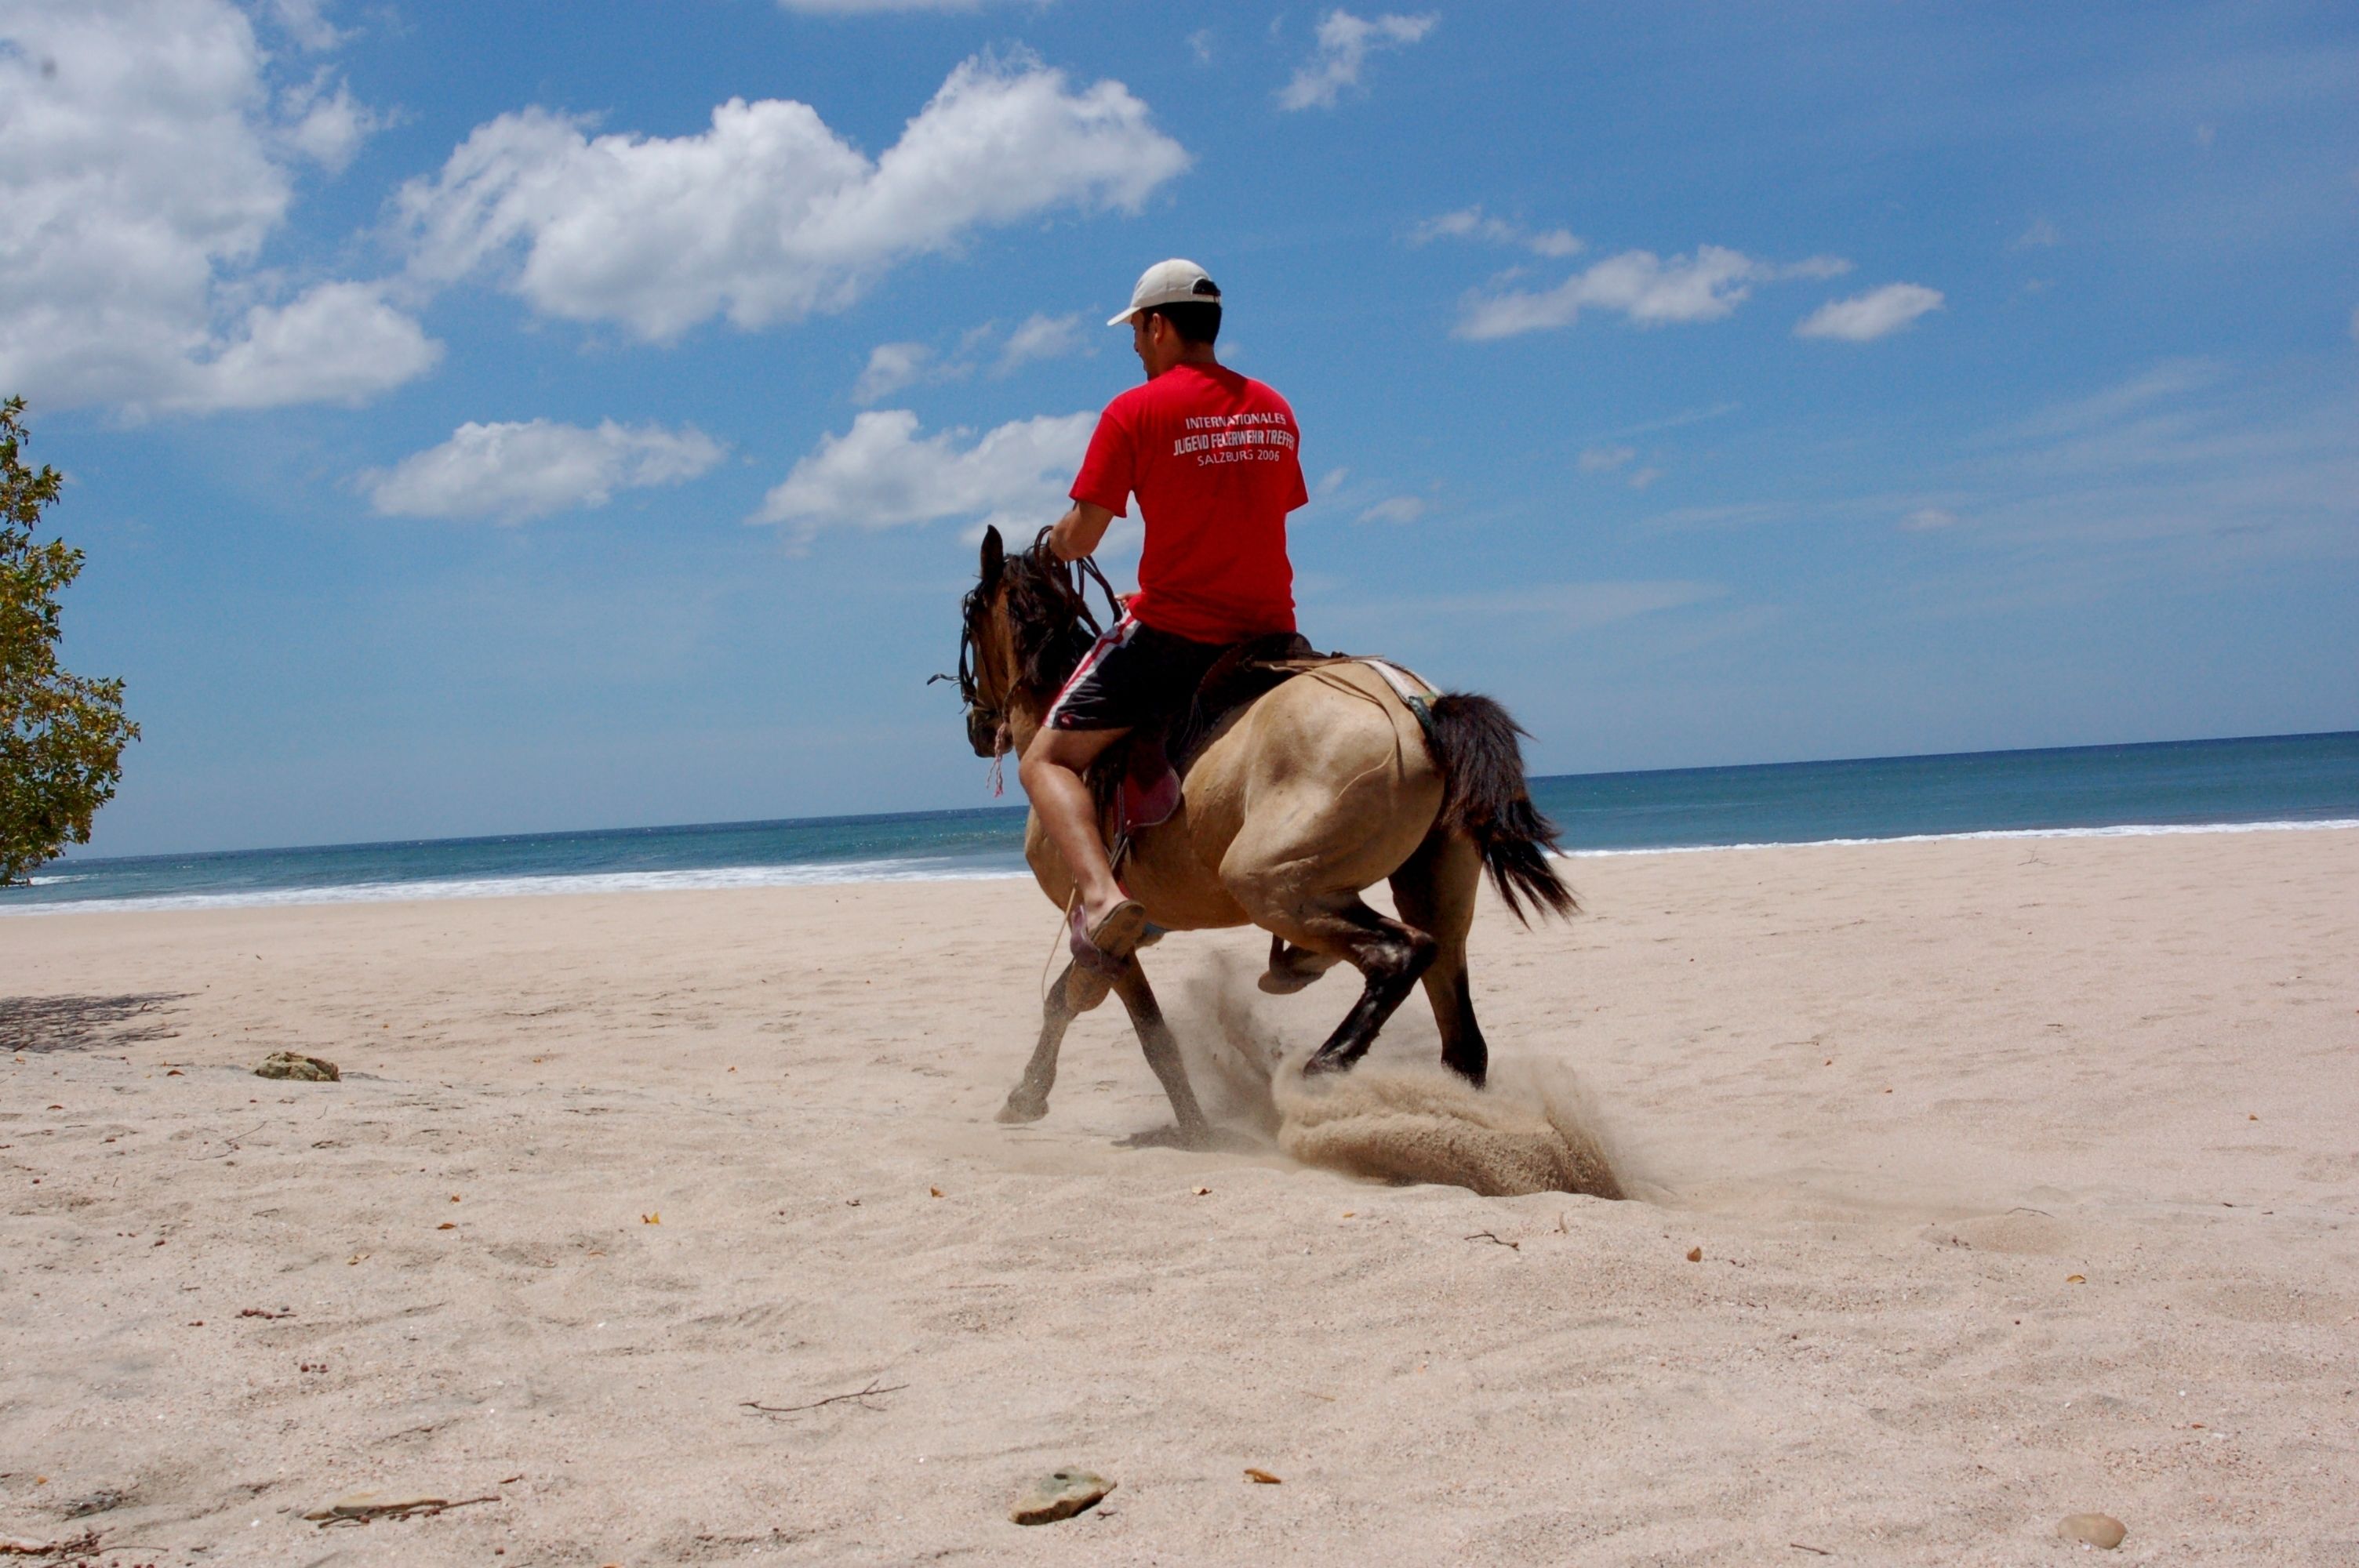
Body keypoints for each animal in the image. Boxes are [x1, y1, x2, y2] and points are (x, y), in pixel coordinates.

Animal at [950, 525, 1574, 1146]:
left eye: (970, 618)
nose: (978, 728)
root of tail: (1419, 706)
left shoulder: (1111, 932)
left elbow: (1139, 1031)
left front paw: (1186, 1126)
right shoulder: (1124, 937)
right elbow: (1069, 1000)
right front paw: (1030, 1095)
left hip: (1268, 884)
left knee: (1399, 955)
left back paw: (1321, 1073)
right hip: (1430, 893)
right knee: (1460, 1035)